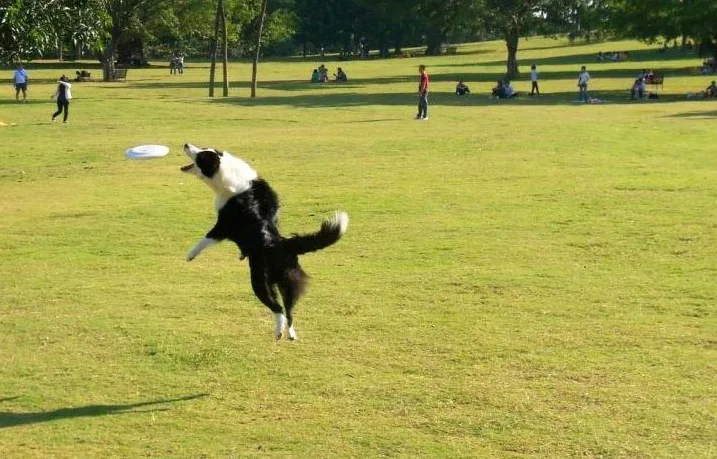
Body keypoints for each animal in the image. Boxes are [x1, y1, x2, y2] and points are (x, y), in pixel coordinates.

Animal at [179, 144, 346, 342]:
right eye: (203, 148)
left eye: (201, 155)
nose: (186, 144)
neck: (225, 171)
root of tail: (282, 244)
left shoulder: (223, 226)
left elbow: (205, 238)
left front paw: (190, 255)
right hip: (287, 283)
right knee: (289, 311)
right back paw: (290, 334)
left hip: (260, 281)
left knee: (278, 309)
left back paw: (279, 332)